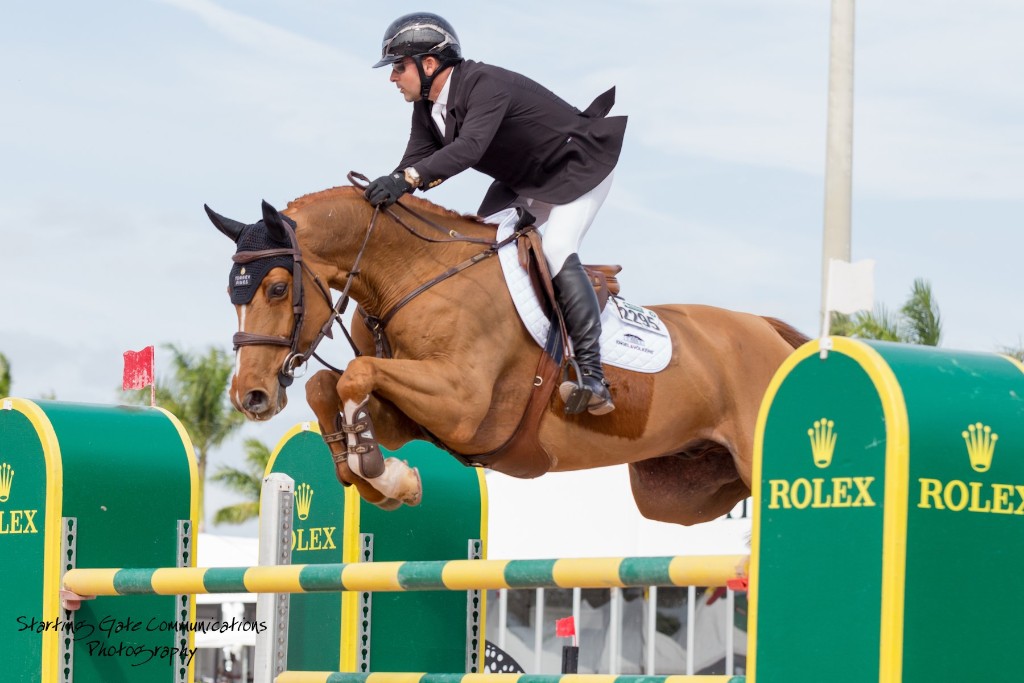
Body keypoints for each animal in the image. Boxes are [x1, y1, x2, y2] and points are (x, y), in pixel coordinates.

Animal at [203, 184, 802, 528]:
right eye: (232, 294)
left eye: (278, 288)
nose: (251, 396)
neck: (413, 275)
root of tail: (768, 331)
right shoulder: (419, 413)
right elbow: (327, 386)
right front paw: (384, 476)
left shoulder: (462, 405)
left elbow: (354, 374)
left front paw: (376, 467)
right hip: (679, 493)